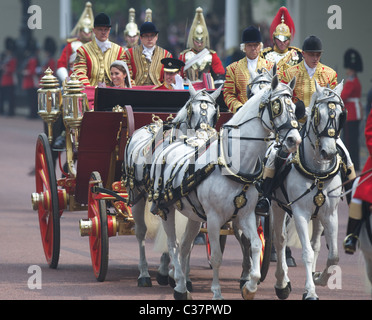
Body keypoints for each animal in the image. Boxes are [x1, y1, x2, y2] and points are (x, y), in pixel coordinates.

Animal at [123, 84, 221, 286]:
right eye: (193, 110)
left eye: (214, 112)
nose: (204, 134)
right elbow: (174, 238)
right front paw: (174, 273)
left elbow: (186, 241)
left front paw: (178, 274)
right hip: (136, 194)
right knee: (140, 232)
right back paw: (144, 273)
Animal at [150, 75, 300, 300]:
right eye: (277, 106)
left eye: (295, 107)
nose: (294, 140)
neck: (232, 166)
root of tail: (174, 143)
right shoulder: (213, 219)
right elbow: (216, 258)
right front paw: (217, 293)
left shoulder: (245, 215)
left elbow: (255, 244)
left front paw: (250, 286)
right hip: (166, 210)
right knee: (173, 245)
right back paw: (177, 281)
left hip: (194, 215)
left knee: (185, 246)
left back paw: (181, 287)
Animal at [270, 80, 346, 300]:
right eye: (318, 114)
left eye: (341, 114)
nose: (328, 152)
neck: (317, 171)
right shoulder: (300, 213)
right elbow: (306, 253)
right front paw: (310, 291)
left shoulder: (330, 214)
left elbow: (333, 255)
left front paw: (319, 278)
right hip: (277, 207)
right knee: (279, 241)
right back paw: (282, 283)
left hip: (318, 216)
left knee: (316, 244)